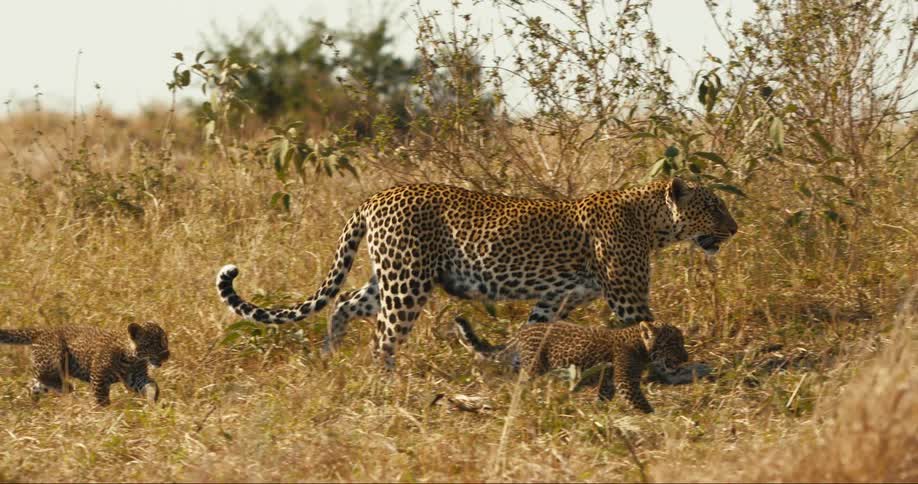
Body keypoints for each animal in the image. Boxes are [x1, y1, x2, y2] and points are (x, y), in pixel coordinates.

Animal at [0, 322, 170, 406]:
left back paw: (35, 401)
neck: (132, 358)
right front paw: (105, 415)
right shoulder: (99, 377)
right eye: (153, 344)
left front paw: (152, 400)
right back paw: (67, 387)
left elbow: (151, 385)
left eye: (165, 341)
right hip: (54, 355)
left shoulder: (136, 377)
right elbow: (101, 399)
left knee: (34, 384)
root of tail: (41, 331)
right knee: (42, 375)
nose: (167, 355)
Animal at [216, 177, 736, 369]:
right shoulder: (628, 298)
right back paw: (384, 384)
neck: (653, 222)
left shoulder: (556, 300)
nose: (735, 227)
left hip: (390, 276)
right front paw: (681, 369)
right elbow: (651, 331)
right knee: (382, 338)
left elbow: (530, 335)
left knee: (343, 305)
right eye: (714, 207)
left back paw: (329, 358)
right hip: (407, 282)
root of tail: (376, 196)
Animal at [454, 315, 689, 413]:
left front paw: (598, 411)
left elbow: (604, 396)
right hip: (534, 367)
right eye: (673, 344)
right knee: (523, 385)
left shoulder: (608, 381)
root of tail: (522, 331)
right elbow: (640, 402)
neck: (641, 346)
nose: (686, 358)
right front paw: (656, 418)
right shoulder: (626, 382)